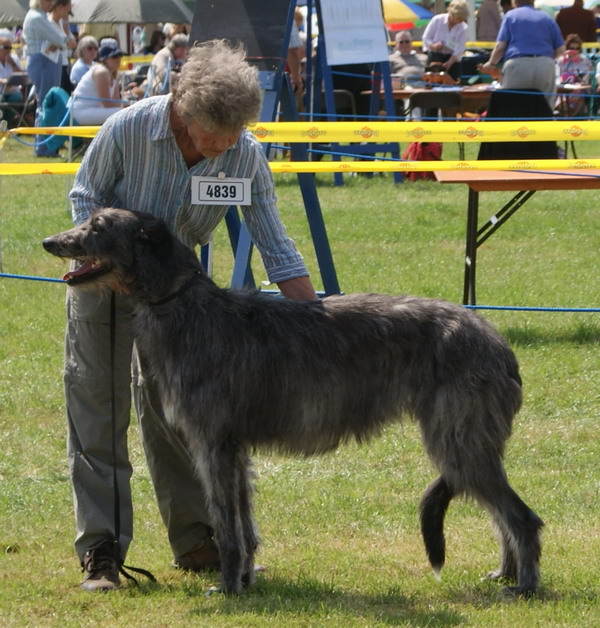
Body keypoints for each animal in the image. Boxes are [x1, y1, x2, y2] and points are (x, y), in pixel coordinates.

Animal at [43, 209, 544, 596]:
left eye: (98, 225)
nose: (49, 241)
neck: (183, 305)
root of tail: (497, 342)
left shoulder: (212, 444)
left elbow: (228, 527)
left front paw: (228, 587)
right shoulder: (235, 450)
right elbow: (244, 525)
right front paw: (245, 581)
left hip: (458, 438)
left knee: (522, 517)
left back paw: (524, 585)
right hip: (466, 443)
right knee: (501, 511)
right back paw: (505, 573)